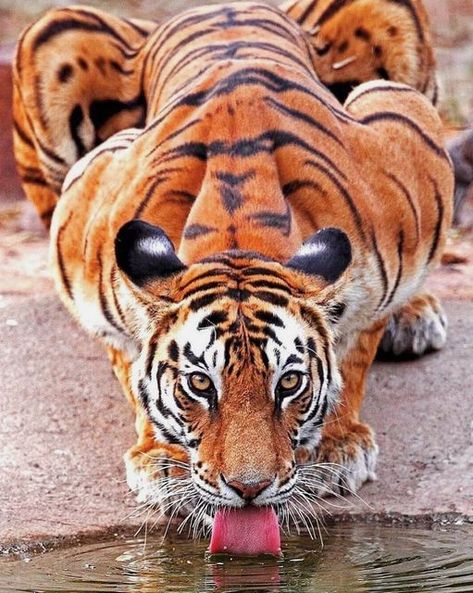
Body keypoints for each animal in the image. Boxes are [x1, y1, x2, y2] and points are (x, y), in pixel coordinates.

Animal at [12, 1, 452, 544]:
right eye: (200, 385)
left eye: (290, 383)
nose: (249, 489)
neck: (240, 237)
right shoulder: (82, 221)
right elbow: (127, 357)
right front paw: (163, 461)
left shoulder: (406, 136)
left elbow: (357, 344)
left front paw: (337, 447)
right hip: (50, 41)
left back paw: (414, 318)